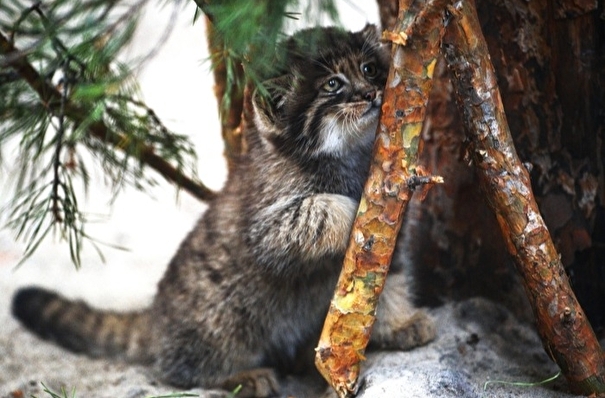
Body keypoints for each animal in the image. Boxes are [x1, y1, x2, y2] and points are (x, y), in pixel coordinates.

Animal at [10, 24, 434, 394]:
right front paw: (356, 205)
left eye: (369, 69)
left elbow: (383, 281)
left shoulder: (385, 240)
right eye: (333, 84)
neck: (345, 156)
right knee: (183, 369)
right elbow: (323, 210)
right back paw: (240, 375)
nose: (371, 93)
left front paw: (399, 323)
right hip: (222, 317)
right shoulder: (269, 227)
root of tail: (155, 318)